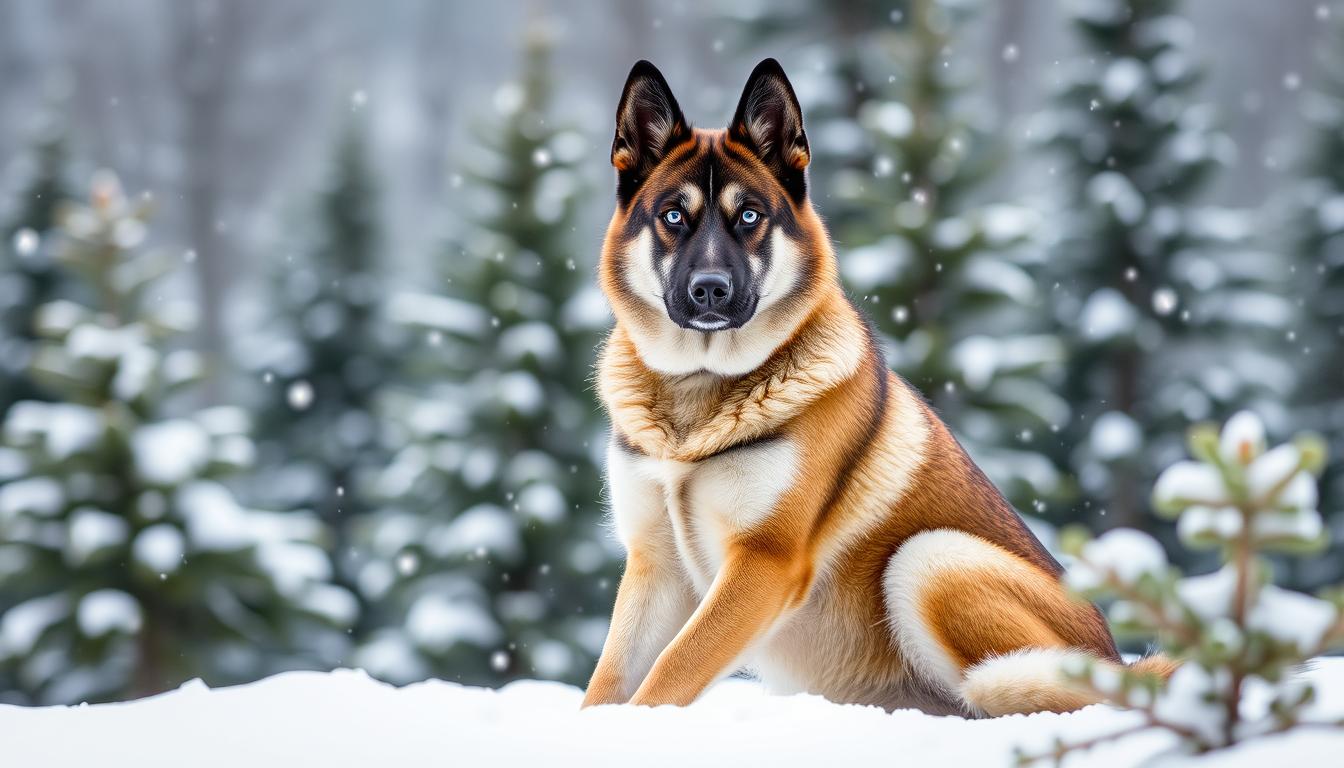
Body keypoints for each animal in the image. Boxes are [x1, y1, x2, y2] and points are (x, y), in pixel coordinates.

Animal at [583, 57, 1171, 720]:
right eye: (673, 216)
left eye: (751, 216)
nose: (710, 288)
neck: (699, 391)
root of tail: (1119, 661)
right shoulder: (656, 564)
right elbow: (609, 682)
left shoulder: (765, 560)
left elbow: (673, 669)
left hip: (932, 558)